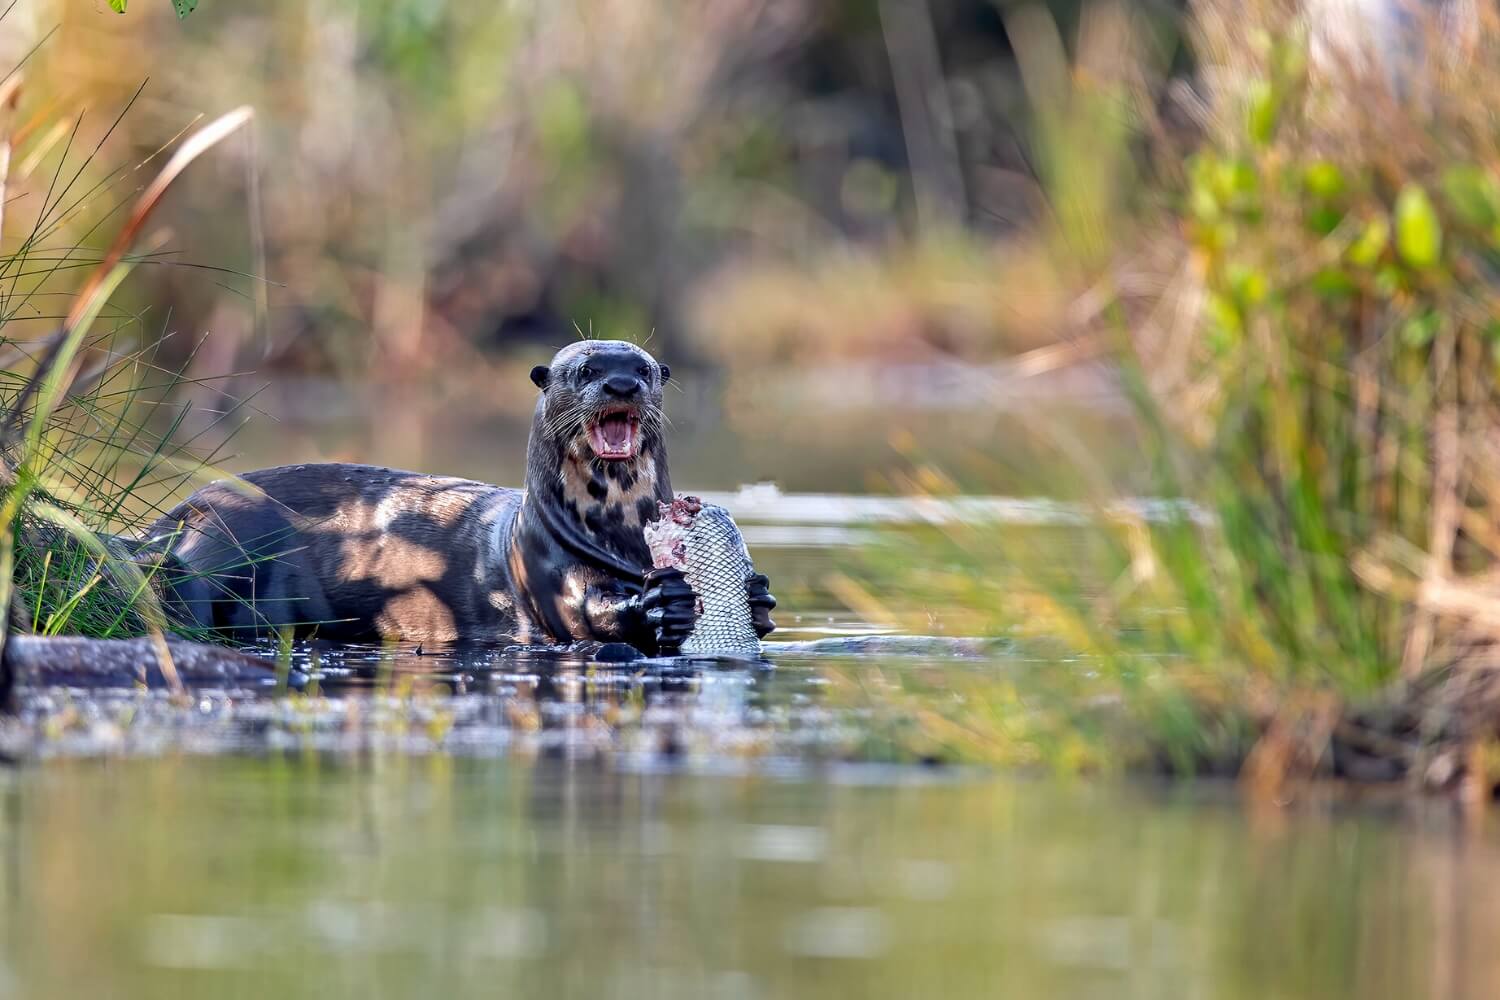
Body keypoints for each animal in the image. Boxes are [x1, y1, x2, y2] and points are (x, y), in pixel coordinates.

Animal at [143, 341, 774, 656]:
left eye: (644, 369)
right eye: (584, 369)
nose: (621, 384)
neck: (618, 533)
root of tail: (176, 517)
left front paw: (758, 597)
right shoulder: (543, 567)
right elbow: (584, 615)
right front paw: (657, 603)